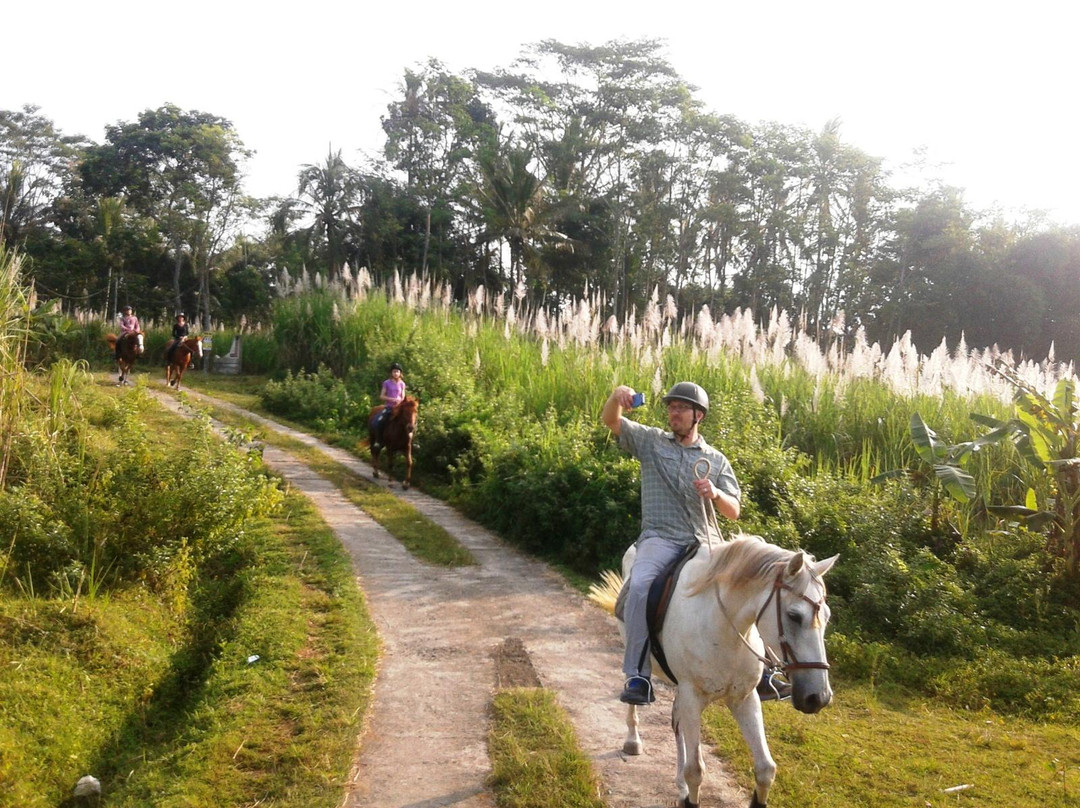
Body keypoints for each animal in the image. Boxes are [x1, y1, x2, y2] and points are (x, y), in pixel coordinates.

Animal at [617, 535, 833, 808]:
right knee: (634, 696)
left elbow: (765, 769)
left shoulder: (744, 699)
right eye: (794, 616)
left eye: (827, 616)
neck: (724, 629)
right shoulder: (692, 698)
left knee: (676, 724)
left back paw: (680, 786)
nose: (818, 698)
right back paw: (633, 740)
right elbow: (695, 770)